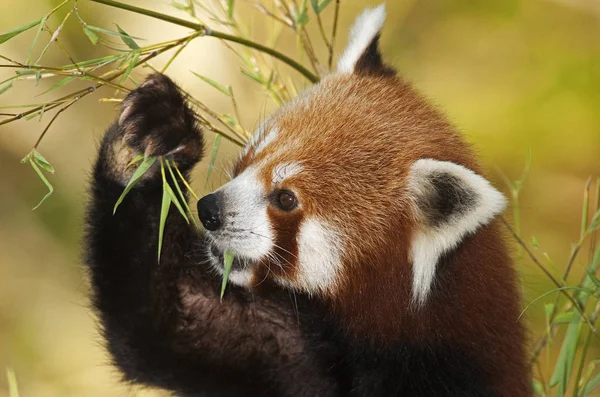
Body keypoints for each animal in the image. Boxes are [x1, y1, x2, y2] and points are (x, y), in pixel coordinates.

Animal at [85, 3, 528, 396]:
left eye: (285, 198)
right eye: (250, 156)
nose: (209, 210)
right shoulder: (291, 349)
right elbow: (171, 327)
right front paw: (150, 139)